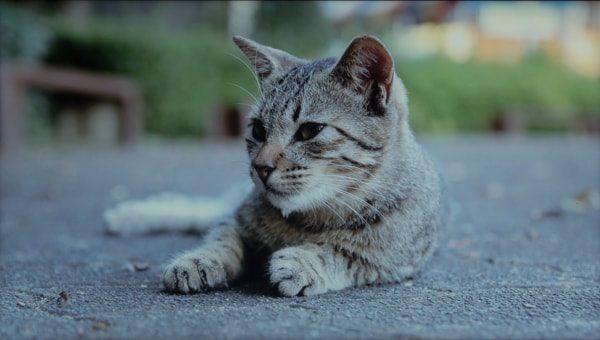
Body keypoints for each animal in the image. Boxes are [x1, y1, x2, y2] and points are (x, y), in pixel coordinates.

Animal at [103, 33, 442, 296]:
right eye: (257, 130)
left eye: (309, 131)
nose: (261, 167)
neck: (308, 218)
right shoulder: (237, 220)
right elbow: (222, 239)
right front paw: (199, 260)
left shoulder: (390, 263)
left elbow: (340, 253)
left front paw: (302, 261)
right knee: (207, 210)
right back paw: (130, 215)